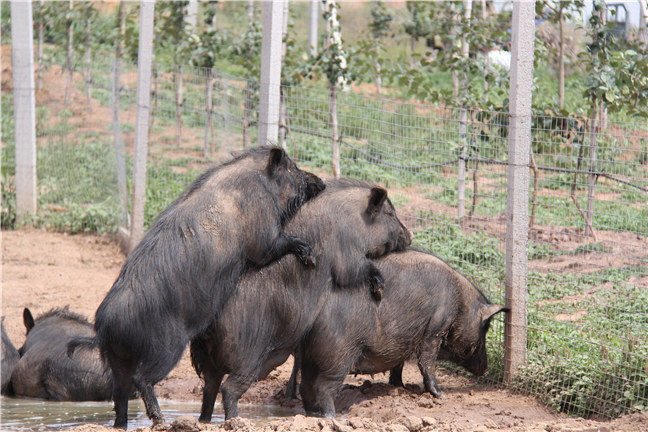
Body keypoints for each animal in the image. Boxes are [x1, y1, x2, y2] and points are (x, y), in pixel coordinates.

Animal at [69, 146, 324, 428]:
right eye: (292, 167)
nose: (321, 182)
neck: (260, 182)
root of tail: (107, 326)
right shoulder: (263, 235)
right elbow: (276, 245)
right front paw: (310, 256)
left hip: (116, 360)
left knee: (120, 392)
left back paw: (122, 425)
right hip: (166, 347)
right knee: (141, 380)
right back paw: (160, 421)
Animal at [190, 178, 410, 422]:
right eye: (389, 213)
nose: (409, 236)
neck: (355, 220)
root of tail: (207, 325)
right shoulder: (348, 255)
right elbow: (356, 270)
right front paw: (379, 289)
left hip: (211, 360)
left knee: (209, 386)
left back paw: (204, 421)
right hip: (247, 355)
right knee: (228, 389)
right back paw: (235, 421)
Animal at [294, 248, 506, 416]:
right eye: (486, 327)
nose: (485, 368)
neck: (461, 302)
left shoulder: (403, 340)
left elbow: (399, 364)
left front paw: (399, 387)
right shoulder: (436, 327)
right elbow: (427, 362)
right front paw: (440, 395)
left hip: (309, 356)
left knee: (305, 386)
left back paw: (312, 413)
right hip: (338, 355)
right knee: (323, 387)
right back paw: (332, 417)